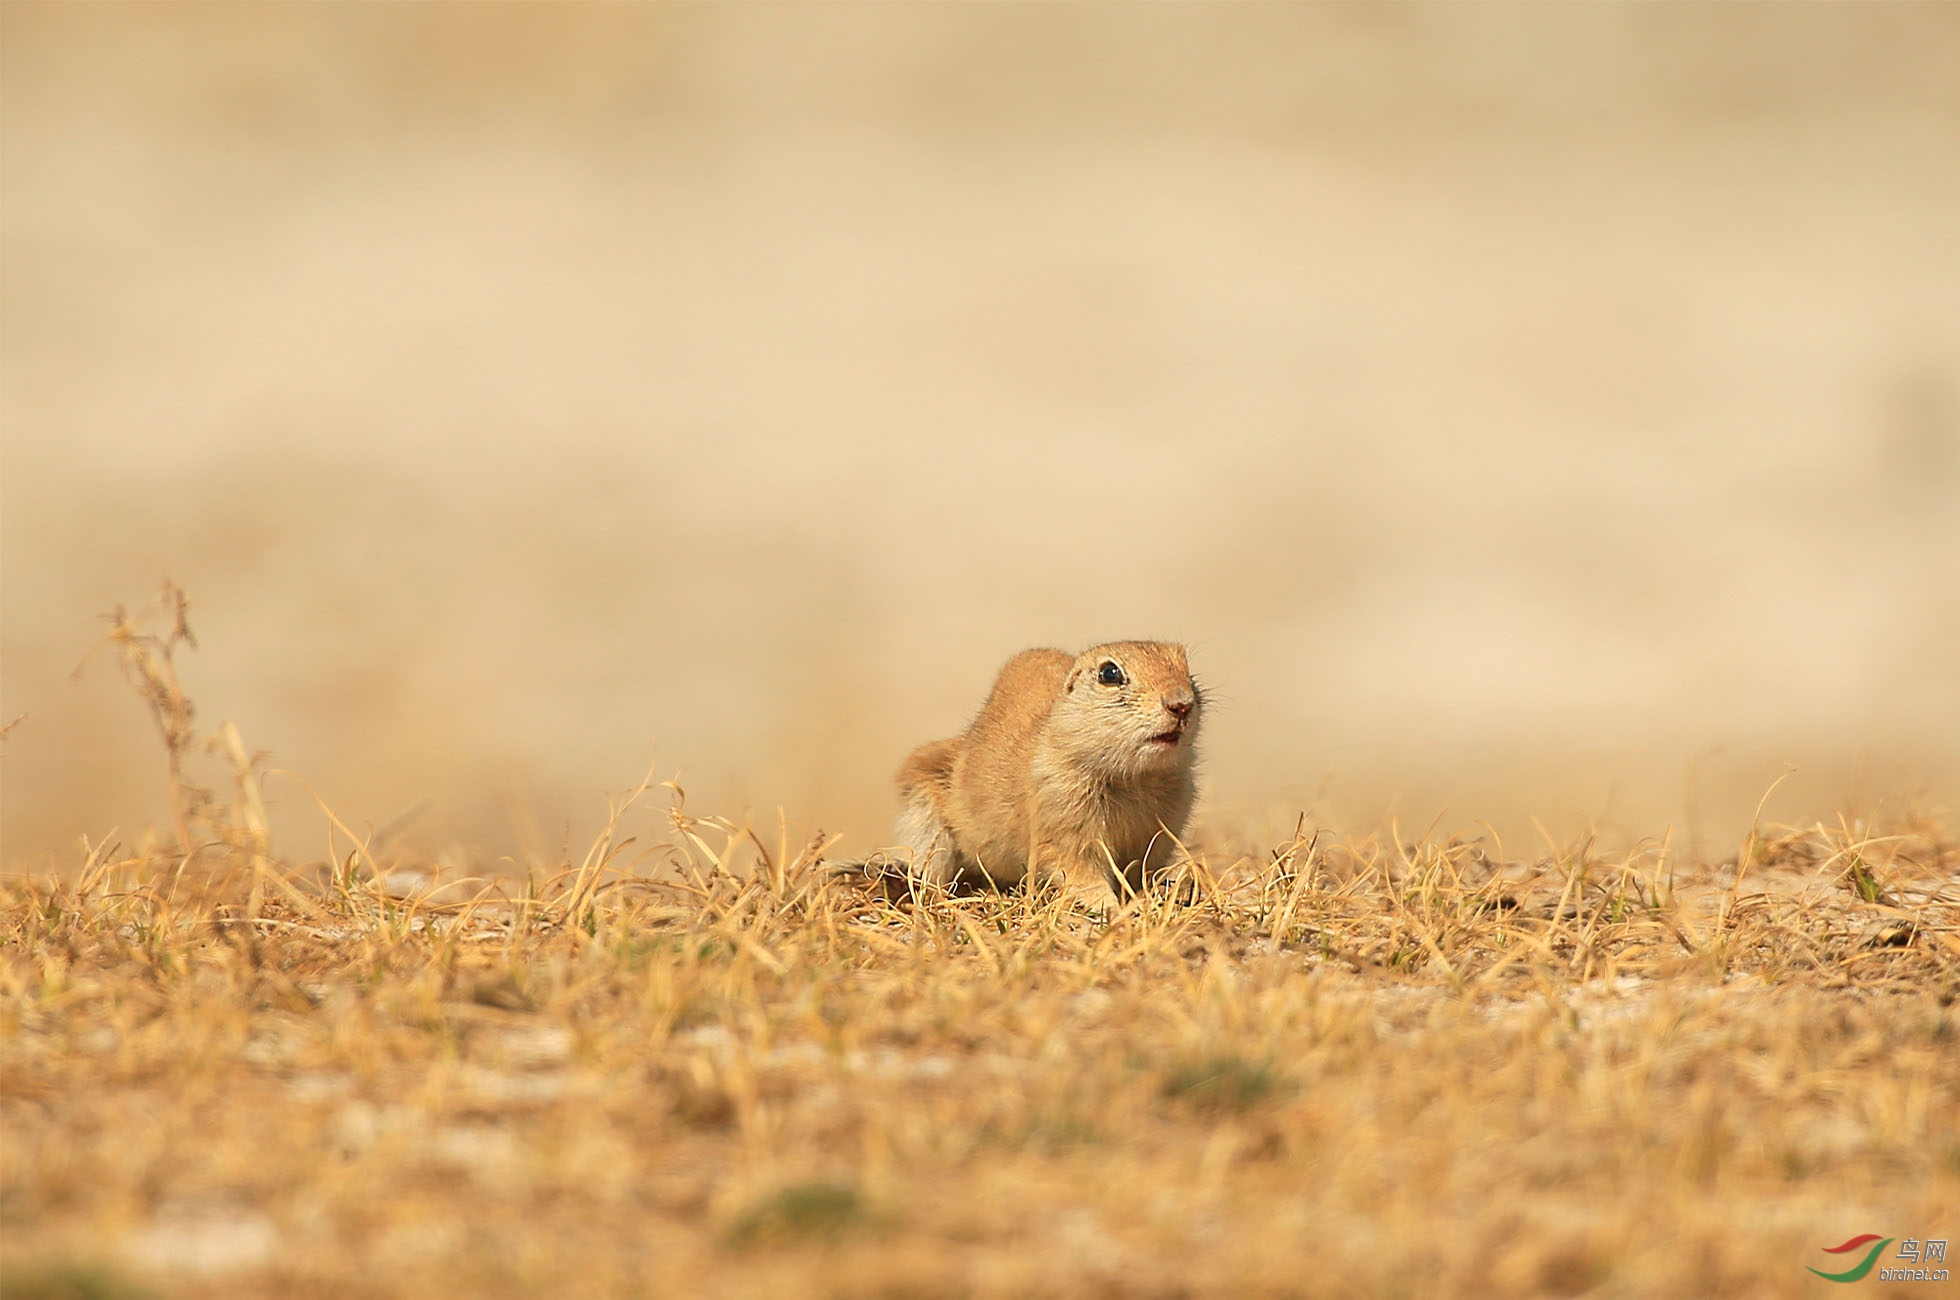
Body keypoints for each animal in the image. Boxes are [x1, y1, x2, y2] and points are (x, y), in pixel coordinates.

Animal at [897, 643, 1199, 905]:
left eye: (1188, 671)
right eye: (1109, 673)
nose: (1181, 704)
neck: (1136, 777)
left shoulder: (1162, 831)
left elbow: (1143, 869)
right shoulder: (1062, 825)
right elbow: (1081, 873)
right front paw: (1111, 909)